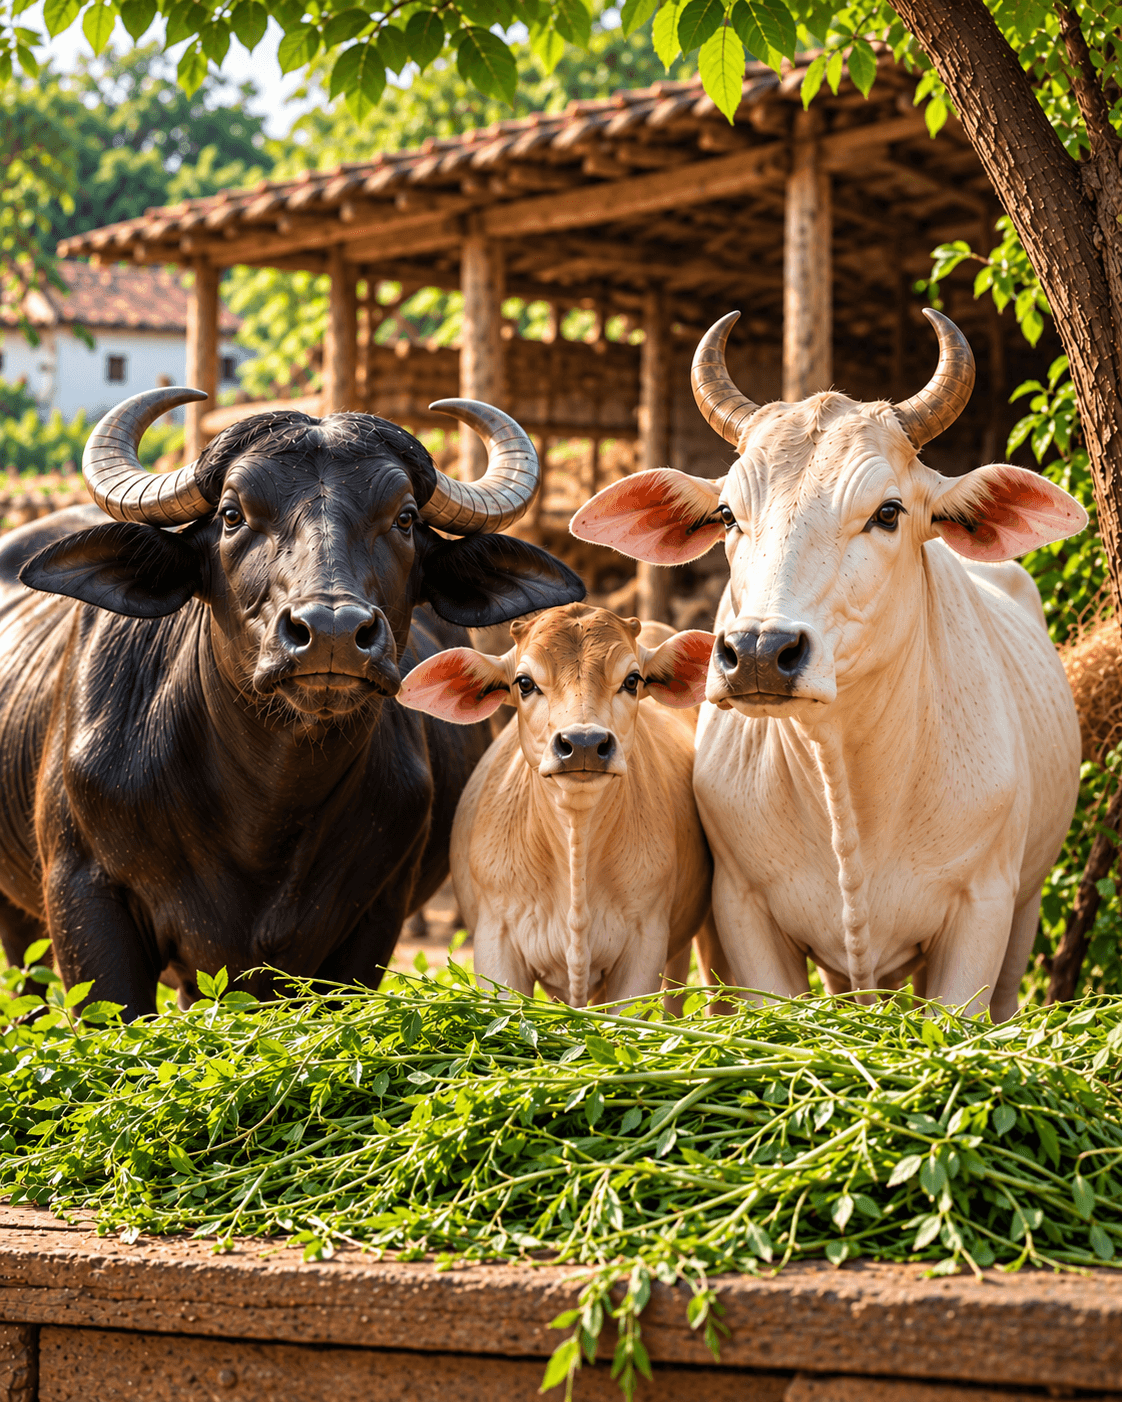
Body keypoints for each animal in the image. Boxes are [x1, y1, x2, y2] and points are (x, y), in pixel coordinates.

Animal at [0, 387, 583, 1019]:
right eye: (232, 515)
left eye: (404, 519)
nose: (332, 631)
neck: (264, 808)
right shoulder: (84, 899)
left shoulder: (371, 920)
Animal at [570, 310, 1086, 1019]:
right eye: (727, 514)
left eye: (888, 512)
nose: (759, 654)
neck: (844, 775)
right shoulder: (743, 910)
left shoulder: (983, 908)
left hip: (1026, 906)